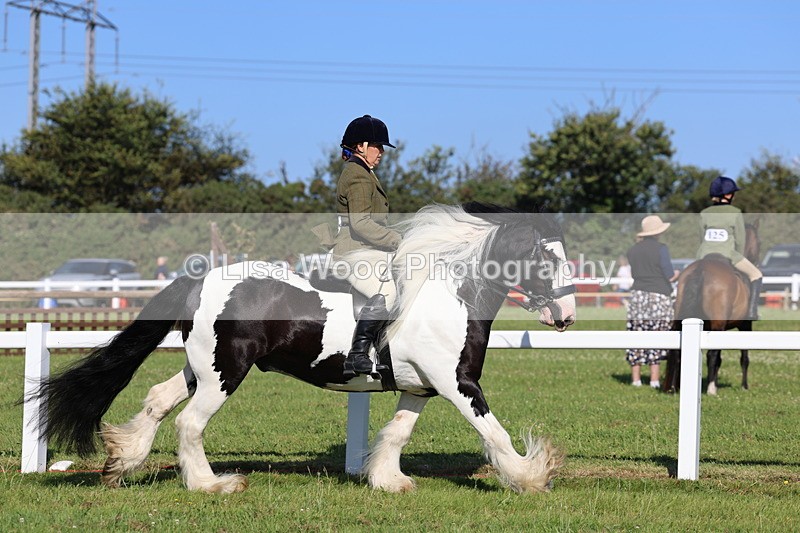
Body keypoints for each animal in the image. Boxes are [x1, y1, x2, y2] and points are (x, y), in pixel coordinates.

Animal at [28, 203, 577, 494]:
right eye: (547, 259)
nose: (566, 316)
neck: (452, 293)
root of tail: (199, 279)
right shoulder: (458, 384)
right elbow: (495, 432)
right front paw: (532, 475)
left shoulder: (420, 388)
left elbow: (397, 434)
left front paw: (387, 481)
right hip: (225, 372)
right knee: (188, 423)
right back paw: (212, 484)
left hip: (202, 367)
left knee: (158, 401)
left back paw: (124, 460)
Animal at [663, 221, 760, 395]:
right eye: (759, 243)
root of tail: (701, 270)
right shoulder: (744, 325)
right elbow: (743, 357)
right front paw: (744, 386)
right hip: (718, 325)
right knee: (712, 355)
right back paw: (711, 389)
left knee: (677, 351)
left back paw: (673, 388)